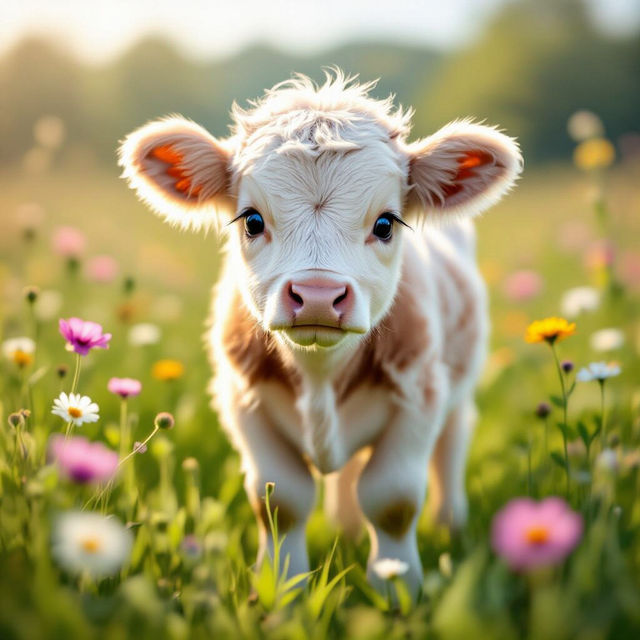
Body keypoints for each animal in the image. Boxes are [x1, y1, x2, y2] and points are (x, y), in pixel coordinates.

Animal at [119, 70, 522, 597]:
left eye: (386, 223)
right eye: (252, 220)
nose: (316, 295)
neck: (319, 374)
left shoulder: (420, 398)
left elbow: (393, 499)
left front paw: (397, 590)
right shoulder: (241, 400)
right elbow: (279, 500)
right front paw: (281, 589)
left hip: (457, 389)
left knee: (451, 445)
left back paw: (450, 524)